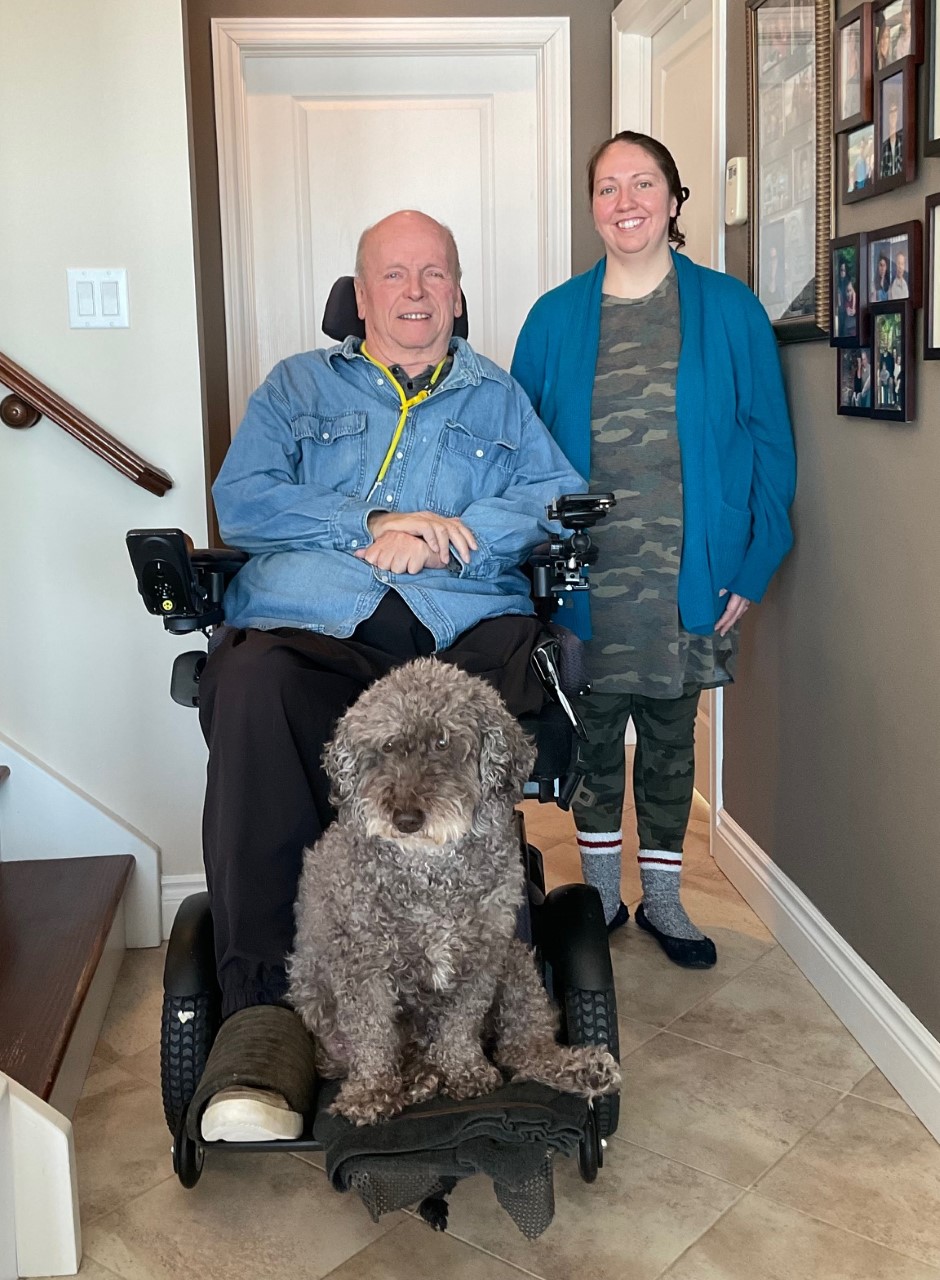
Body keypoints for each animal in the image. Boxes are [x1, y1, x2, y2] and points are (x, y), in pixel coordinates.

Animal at [290, 660, 622, 1121]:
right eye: (388, 746)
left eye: (443, 743)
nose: (405, 818)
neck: (430, 868)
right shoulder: (363, 965)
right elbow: (372, 1034)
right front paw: (370, 1092)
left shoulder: (480, 957)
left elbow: (461, 1024)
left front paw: (464, 1071)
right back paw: (415, 1081)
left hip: (516, 965)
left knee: (522, 1049)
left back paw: (582, 1069)